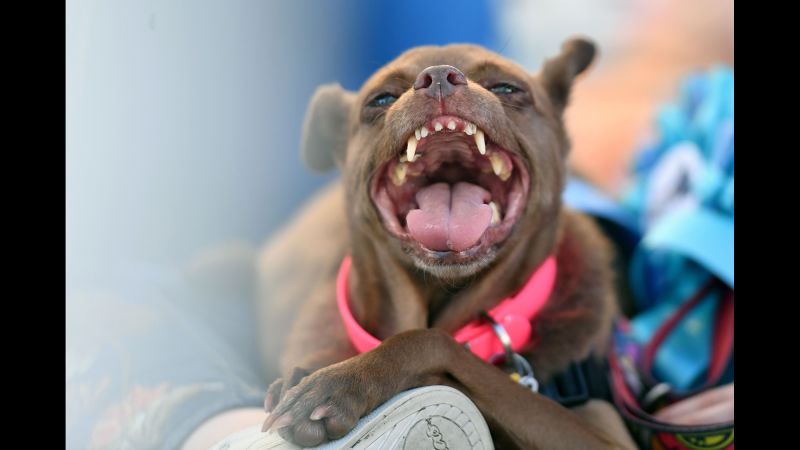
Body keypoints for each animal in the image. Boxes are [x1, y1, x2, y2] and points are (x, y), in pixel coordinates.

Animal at [253, 37, 636, 448]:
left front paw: (338, 383)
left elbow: (430, 342)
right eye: (381, 99)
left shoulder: (605, 438)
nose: (438, 77)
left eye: (507, 88)